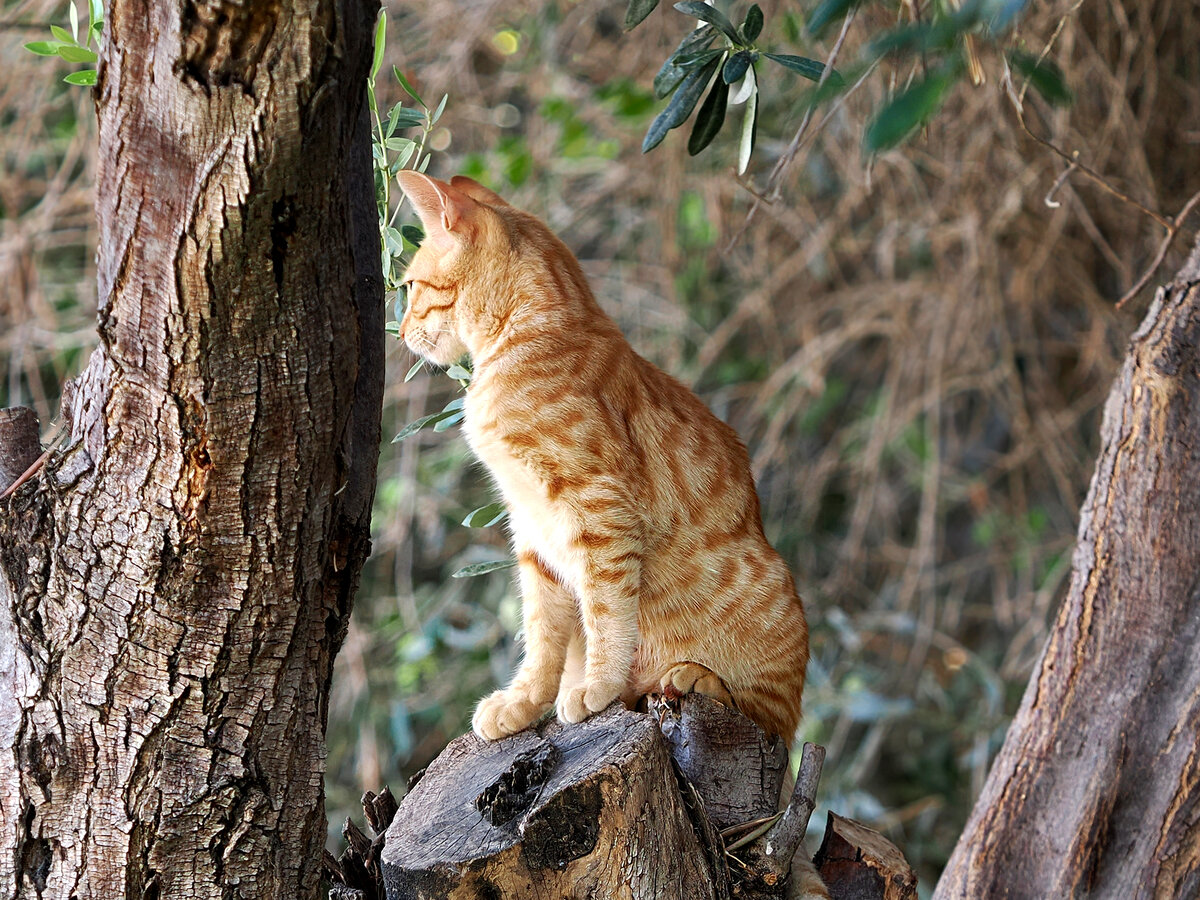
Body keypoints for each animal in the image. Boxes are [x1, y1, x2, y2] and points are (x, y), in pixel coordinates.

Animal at [398, 174, 811, 748]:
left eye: (412, 286)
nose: (399, 332)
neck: (525, 334)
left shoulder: (599, 510)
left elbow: (606, 609)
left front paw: (596, 685)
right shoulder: (532, 531)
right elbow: (542, 632)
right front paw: (524, 701)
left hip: (769, 600)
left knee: (771, 717)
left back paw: (694, 677)